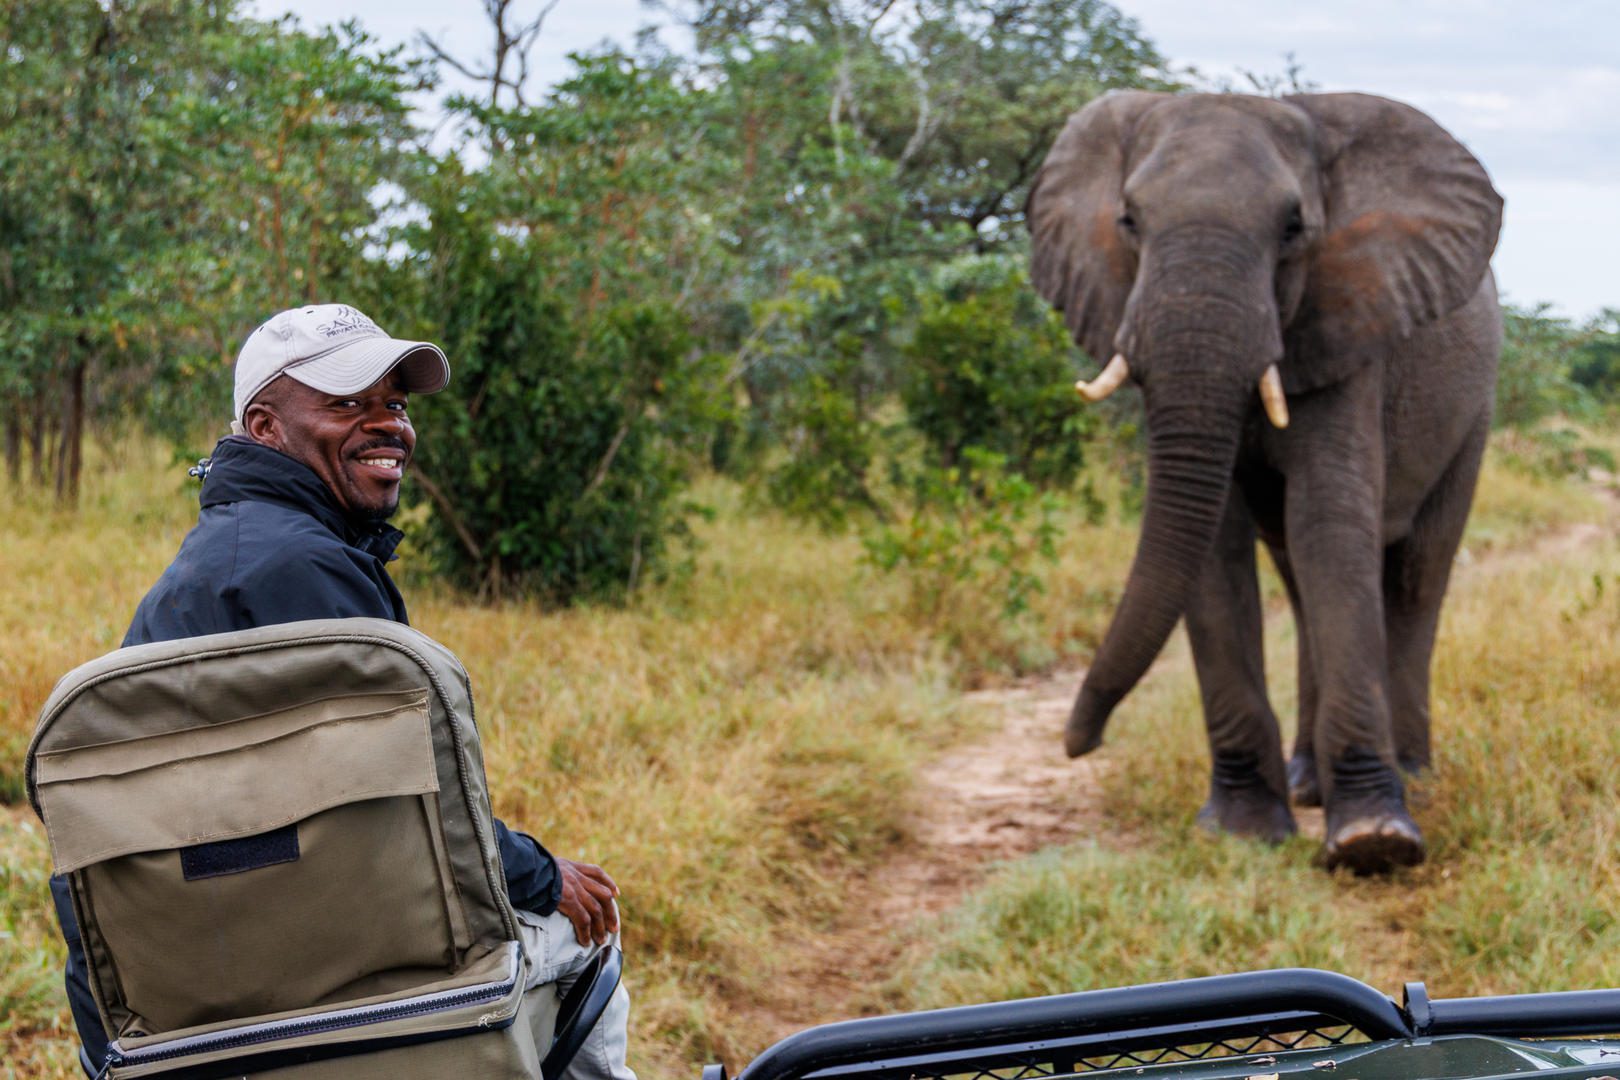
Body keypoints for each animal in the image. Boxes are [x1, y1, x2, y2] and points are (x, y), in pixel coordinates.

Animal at [1025, 91, 1503, 873]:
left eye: (1292, 229)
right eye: (1129, 222)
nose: (1077, 743)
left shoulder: (1349, 324)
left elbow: (1327, 525)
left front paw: (1374, 842)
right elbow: (1215, 547)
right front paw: (1243, 832)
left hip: (1474, 413)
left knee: (1415, 578)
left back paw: (1414, 776)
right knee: (1301, 587)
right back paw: (1310, 785)